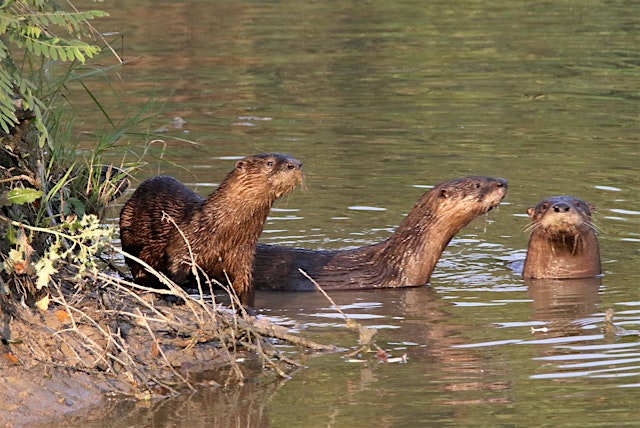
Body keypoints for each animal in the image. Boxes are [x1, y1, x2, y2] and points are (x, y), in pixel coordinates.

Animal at [119, 153, 304, 306]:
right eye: (269, 163)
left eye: (292, 158)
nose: (296, 164)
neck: (223, 232)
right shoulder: (184, 244)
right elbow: (174, 273)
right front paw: (174, 296)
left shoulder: (243, 258)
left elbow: (244, 285)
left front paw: (247, 309)